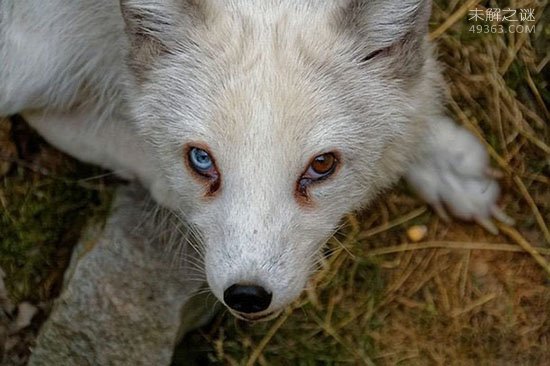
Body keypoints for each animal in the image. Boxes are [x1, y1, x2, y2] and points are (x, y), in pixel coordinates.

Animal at [0, 0, 512, 346]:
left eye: (321, 165)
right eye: (201, 160)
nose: (246, 296)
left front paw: (443, 163)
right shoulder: (29, 69)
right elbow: (110, 130)